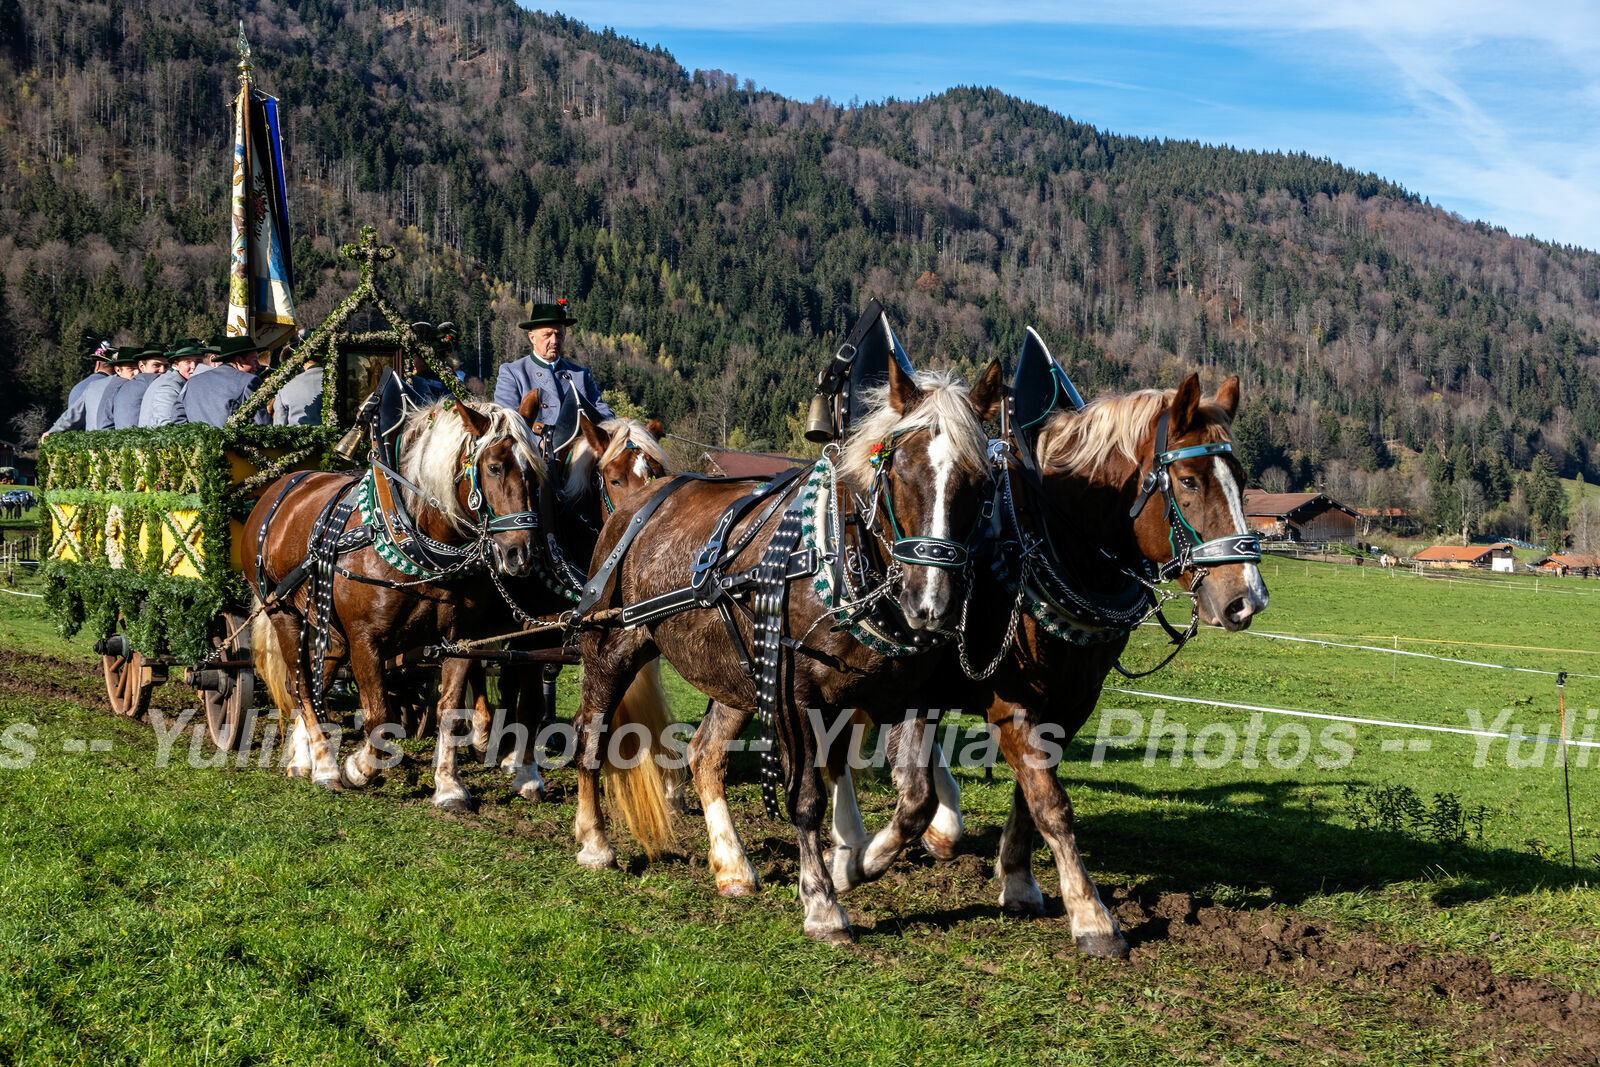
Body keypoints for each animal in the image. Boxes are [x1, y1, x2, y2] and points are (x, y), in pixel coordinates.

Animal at [572, 358, 998, 940]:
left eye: (979, 481)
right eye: (899, 471)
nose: (930, 605)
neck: (840, 556)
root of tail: (638, 504)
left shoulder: (909, 697)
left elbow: (916, 801)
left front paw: (854, 865)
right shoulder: (795, 696)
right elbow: (807, 798)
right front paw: (821, 902)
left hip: (737, 674)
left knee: (705, 754)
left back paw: (732, 866)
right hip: (612, 649)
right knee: (591, 736)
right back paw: (594, 841)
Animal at [694, 371, 1267, 953]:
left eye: (1241, 480)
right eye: (1190, 480)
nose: (1246, 600)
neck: (1045, 544)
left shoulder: (1070, 704)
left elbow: (1031, 796)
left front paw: (1017, 878)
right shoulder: (995, 700)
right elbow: (1040, 802)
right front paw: (1091, 916)